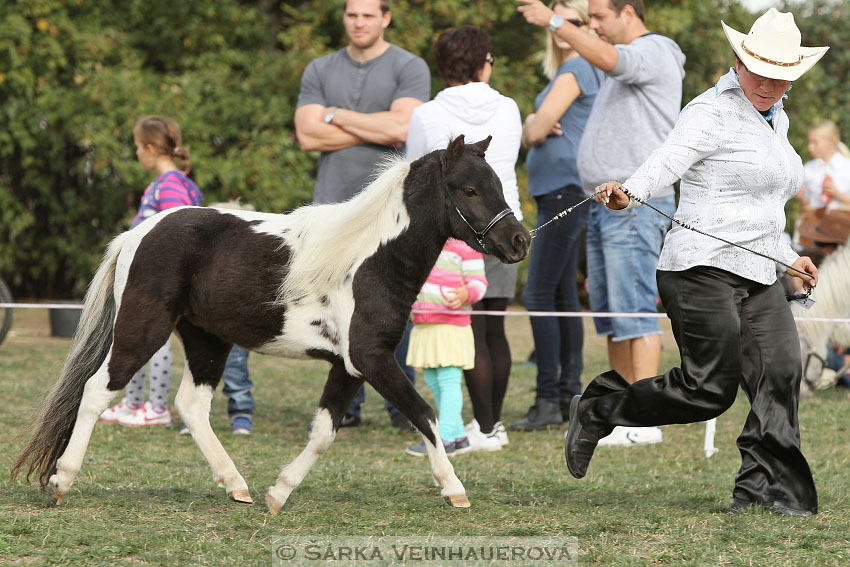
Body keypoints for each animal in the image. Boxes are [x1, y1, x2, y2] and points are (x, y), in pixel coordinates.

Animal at [11, 136, 528, 516]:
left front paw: (277, 494)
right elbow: (424, 413)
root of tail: (137, 233)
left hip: (207, 340)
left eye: (496, 184)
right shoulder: (372, 359)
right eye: (468, 190)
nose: (519, 241)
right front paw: (454, 489)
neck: (368, 260)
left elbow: (324, 432)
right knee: (97, 390)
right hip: (143, 330)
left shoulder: (349, 366)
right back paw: (61, 481)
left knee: (191, 406)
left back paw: (236, 485)